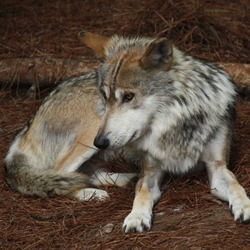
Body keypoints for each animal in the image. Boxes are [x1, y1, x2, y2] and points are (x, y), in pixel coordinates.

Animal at [79, 30, 250, 232]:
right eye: (105, 96)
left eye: (128, 96)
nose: (99, 142)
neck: (174, 124)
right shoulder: (150, 171)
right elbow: (142, 193)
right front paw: (136, 216)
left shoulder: (218, 166)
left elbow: (236, 185)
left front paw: (245, 206)